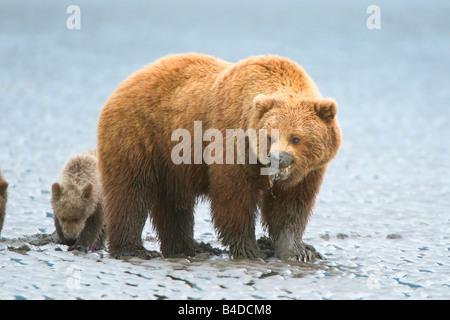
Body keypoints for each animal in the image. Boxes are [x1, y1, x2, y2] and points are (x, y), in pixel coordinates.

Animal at [97, 53, 342, 262]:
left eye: (296, 138)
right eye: (269, 136)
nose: (276, 158)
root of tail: (124, 83)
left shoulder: (308, 172)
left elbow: (291, 208)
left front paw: (299, 250)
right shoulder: (234, 143)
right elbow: (234, 198)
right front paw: (250, 249)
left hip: (172, 162)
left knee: (175, 203)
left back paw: (190, 247)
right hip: (139, 135)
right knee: (131, 192)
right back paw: (134, 249)